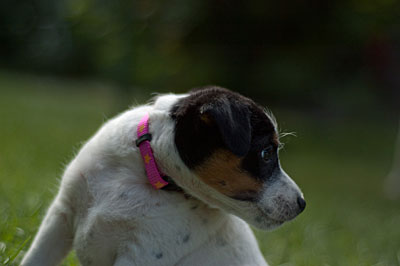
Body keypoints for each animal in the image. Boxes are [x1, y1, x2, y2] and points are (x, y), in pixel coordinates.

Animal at [21, 86, 306, 264]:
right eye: (266, 153)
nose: (302, 203)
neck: (147, 172)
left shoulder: (143, 254)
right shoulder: (60, 217)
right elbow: (34, 259)